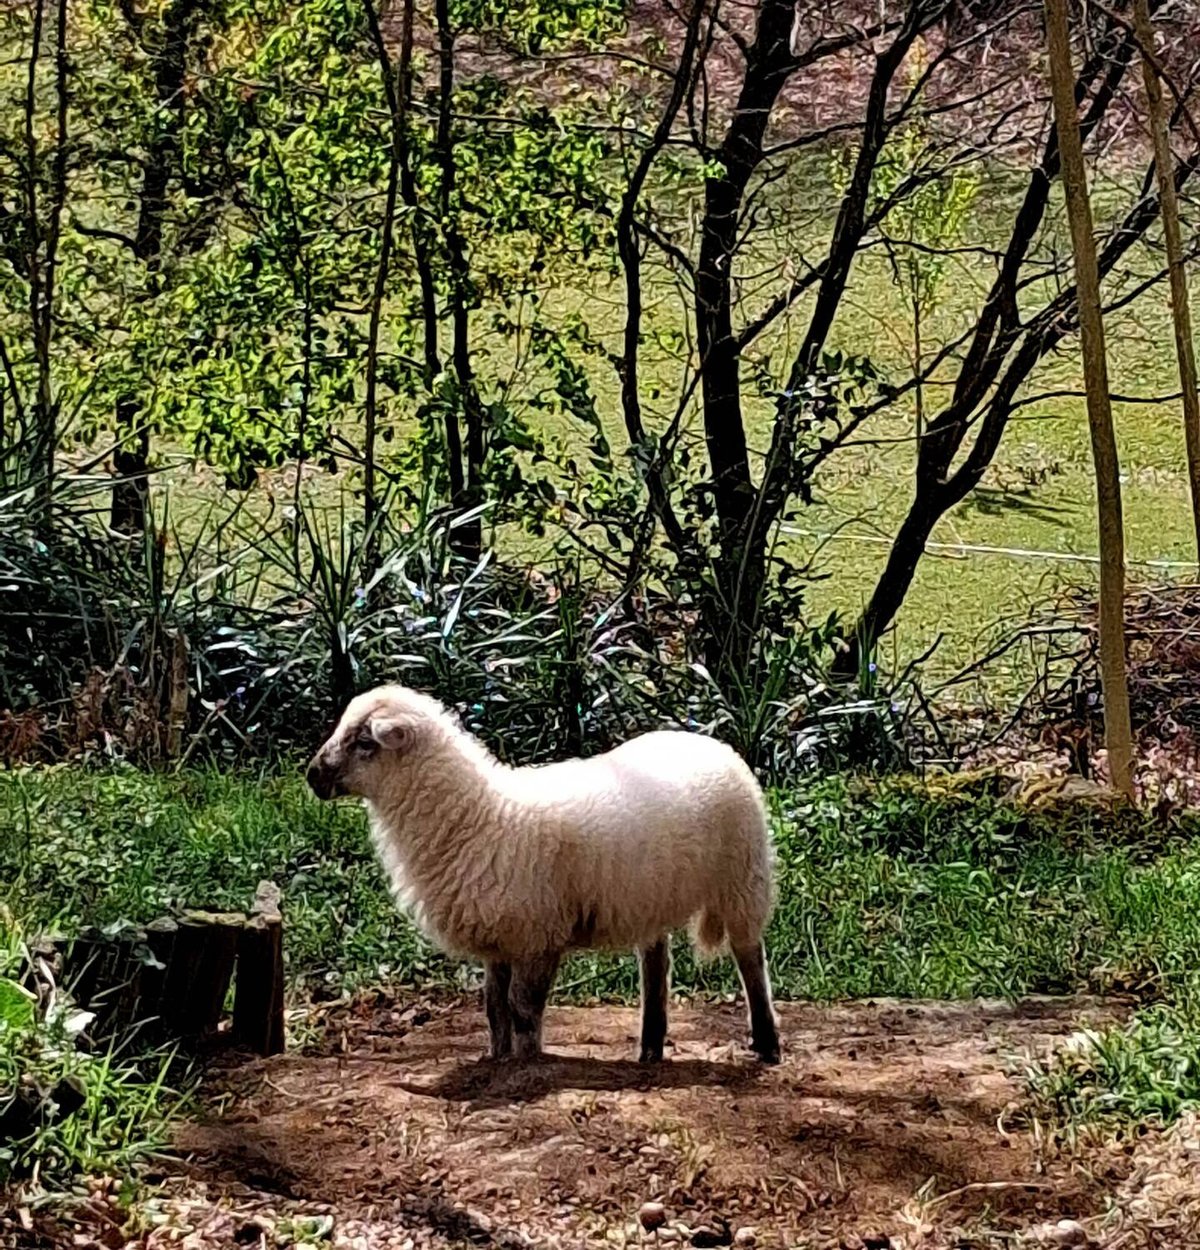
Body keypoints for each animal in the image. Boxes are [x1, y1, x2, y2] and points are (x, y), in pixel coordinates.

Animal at [306, 684, 781, 1065]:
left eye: (364, 742)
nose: (311, 776)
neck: (479, 816)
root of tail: (706, 739)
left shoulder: (538, 936)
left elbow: (523, 1006)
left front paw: (529, 1058)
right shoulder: (499, 939)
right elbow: (494, 1006)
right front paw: (498, 1058)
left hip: (742, 878)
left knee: (750, 958)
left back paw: (767, 1044)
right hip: (649, 895)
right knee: (655, 964)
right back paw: (650, 1048)